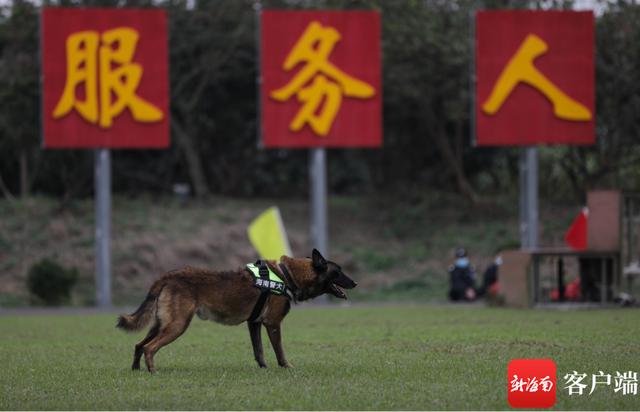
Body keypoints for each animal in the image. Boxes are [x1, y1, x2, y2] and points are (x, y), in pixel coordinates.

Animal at [117, 248, 358, 374]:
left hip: (161, 324)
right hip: (177, 325)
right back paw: (152, 371)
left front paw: (263, 369)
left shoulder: (254, 323)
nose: (355, 283)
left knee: (139, 345)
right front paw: (286, 367)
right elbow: (279, 351)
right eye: (338, 272)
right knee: (149, 348)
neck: (287, 275)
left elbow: (259, 351)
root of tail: (169, 275)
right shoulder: (273, 324)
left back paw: (136, 369)